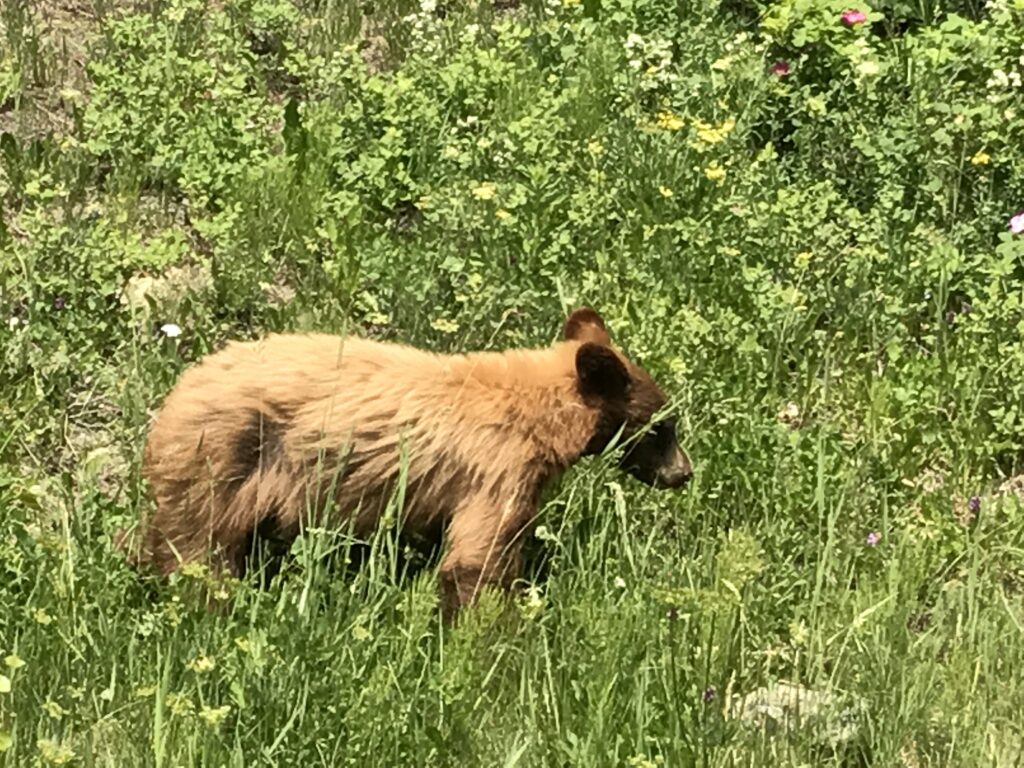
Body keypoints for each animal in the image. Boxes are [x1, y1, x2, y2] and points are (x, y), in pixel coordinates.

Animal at [131, 307, 692, 618]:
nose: (683, 473)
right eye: (663, 426)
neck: (540, 412)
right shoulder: (497, 469)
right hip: (221, 462)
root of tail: (171, 402)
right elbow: (477, 561)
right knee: (197, 548)